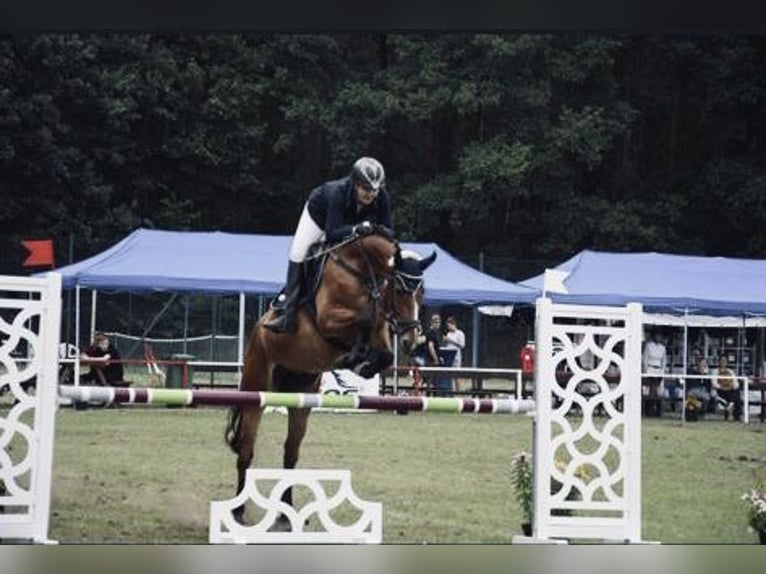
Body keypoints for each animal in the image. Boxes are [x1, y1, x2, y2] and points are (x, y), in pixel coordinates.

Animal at [225, 224, 436, 528]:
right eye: (399, 289)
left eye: (423, 293)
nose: (410, 339)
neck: (362, 272)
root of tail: (256, 332)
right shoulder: (329, 319)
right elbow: (363, 319)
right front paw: (354, 359)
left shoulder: (380, 331)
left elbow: (381, 348)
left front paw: (361, 364)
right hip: (257, 389)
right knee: (246, 450)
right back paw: (238, 512)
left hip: (300, 398)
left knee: (290, 453)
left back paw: (285, 516)